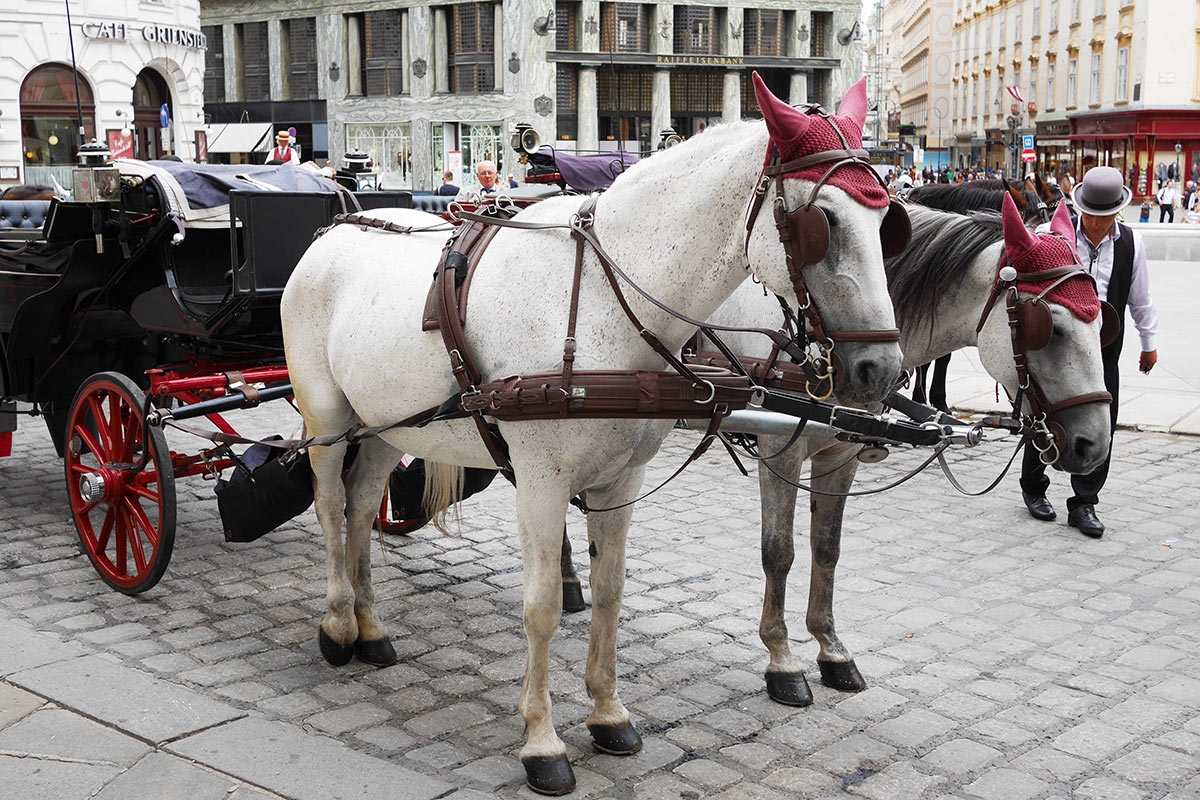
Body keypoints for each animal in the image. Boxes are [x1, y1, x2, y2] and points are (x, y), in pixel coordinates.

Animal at [280, 76, 902, 796]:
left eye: (888, 221)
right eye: (822, 223)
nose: (882, 369)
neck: (609, 303)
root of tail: (335, 228)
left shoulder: (619, 480)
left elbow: (610, 591)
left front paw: (607, 714)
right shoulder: (541, 483)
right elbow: (544, 606)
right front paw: (542, 742)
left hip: (387, 422)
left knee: (360, 509)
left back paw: (371, 627)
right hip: (328, 418)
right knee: (330, 507)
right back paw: (336, 624)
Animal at [700, 190, 1113, 705]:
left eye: (1103, 317)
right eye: (1052, 328)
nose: (1095, 444)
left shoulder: (841, 453)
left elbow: (826, 547)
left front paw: (831, 649)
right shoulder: (782, 449)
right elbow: (779, 551)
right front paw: (782, 660)